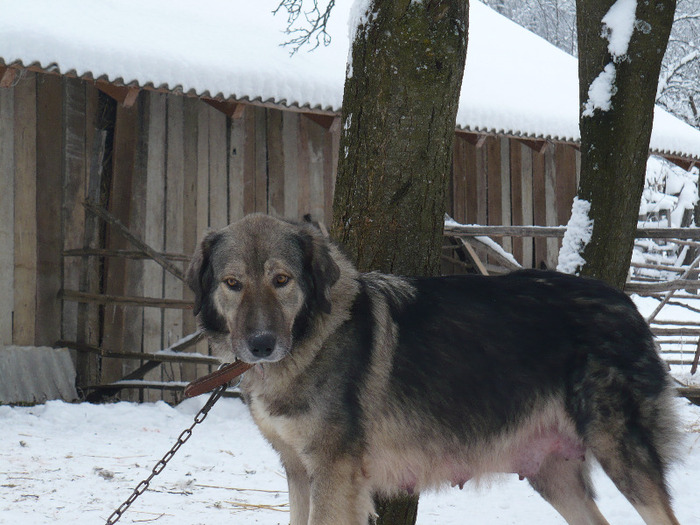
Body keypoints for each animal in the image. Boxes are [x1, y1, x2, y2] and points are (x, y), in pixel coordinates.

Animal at [189, 213, 680, 524]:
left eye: (281, 280)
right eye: (233, 284)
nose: (261, 346)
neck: (312, 338)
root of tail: (628, 304)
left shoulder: (333, 474)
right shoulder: (297, 472)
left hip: (621, 455)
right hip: (553, 476)